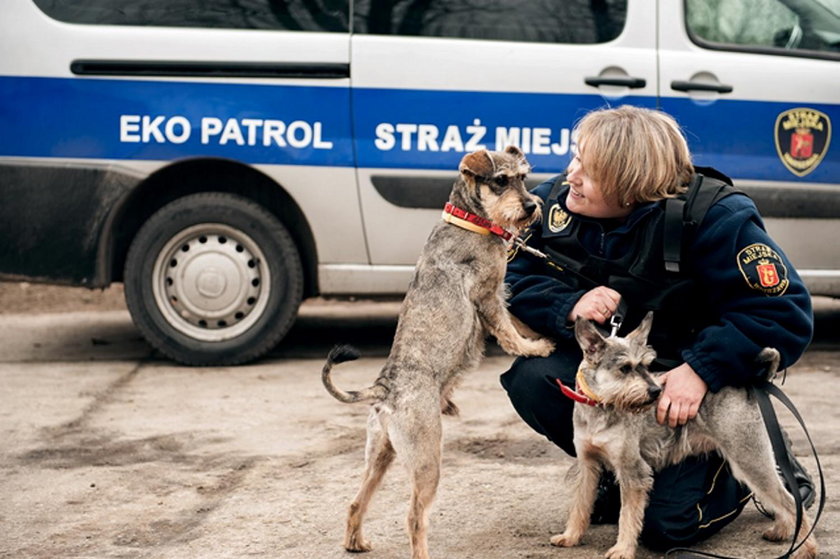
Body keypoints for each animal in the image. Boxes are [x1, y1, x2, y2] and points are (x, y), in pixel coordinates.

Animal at [320, 147, 552, 559]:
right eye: (500, 181)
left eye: (523, 177)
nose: (530, 206)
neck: (469, 221)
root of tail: (385, 390)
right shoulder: (487, 297)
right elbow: (510, 333)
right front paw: (536, 348)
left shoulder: (497, 298)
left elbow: (518, 321)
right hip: (428, 462)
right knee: (414, 517)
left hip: (380, 456)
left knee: (356, 501)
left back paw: (355, 541)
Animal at [552, 312, 820, 556]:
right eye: (624, 368)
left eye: (647, 365)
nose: (655, 392)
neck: (600, 405)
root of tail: (751, 385)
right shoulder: (588, 464)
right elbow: (580, 504)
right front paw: (570, 536)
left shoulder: (633, 471)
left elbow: (627, 516)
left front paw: (622, 549)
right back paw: (782, 531)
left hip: (748, 459)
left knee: (787, 499)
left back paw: (805, 548)